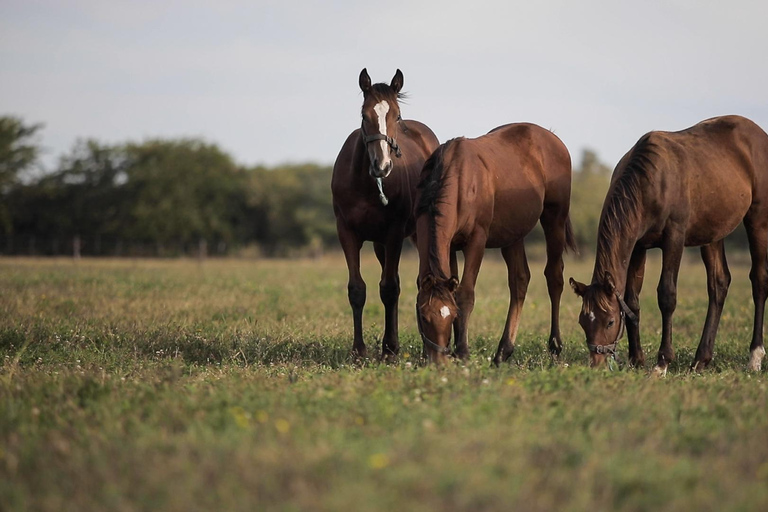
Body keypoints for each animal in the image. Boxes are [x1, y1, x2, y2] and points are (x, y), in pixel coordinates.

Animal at [330, 69, 438, 360]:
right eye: (364, 114)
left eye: (397, 116)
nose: (383, 165)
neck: (366, 183)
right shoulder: (347, 232)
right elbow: (357, 289)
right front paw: (359, 350)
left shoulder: (394, 233)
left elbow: (389, 289)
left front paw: (389, 349)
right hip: (379, 243)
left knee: (415, 282)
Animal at [414, 123, 576, 364]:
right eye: (423, 317)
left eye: (450, 315)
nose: (439, 361)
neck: (458, 179)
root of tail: (552, 138)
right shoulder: (450, 246)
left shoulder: (476, 241)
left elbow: (465, 293)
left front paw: (462, 351)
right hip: (513, 235)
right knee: (520, 280)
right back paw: (503, 351)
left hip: (554, 220)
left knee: (554, 277)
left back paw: (555, 345)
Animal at [568, 114, 768, 374]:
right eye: (583, 321)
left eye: (610, 321)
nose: (597, 364)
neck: (650, 181)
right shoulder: (638, 247)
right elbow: (632, 301)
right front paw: (636, 359)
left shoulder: (674, 238)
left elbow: (667, 295)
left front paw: (662, 363)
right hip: (713, 234)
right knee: (718, 284)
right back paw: (701, 359)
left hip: (758, 220)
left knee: (759, 281)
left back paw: (755, 357)